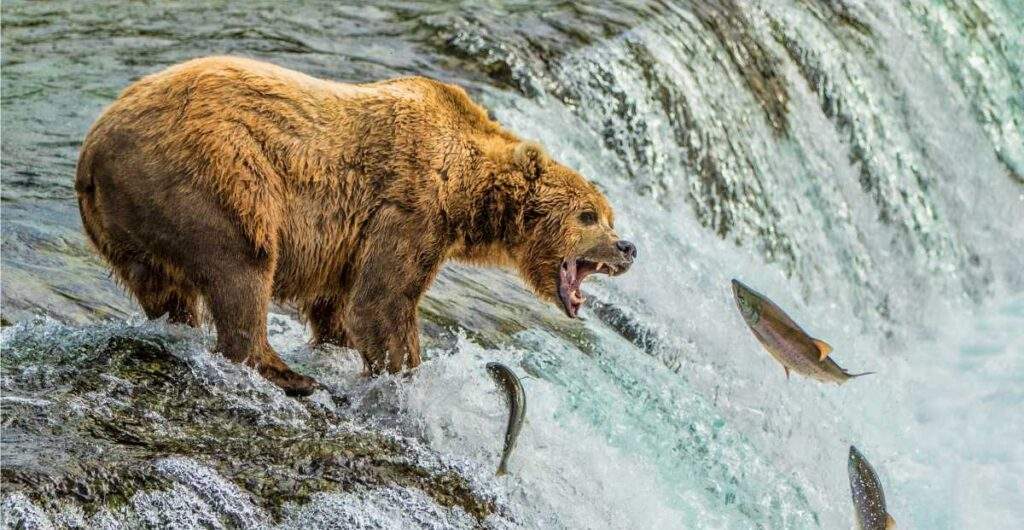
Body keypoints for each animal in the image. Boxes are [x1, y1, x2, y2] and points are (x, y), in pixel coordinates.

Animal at [75, 56, 637, 396]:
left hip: (132, 221)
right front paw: (408, 372)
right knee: (243, 266)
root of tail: (94, 147)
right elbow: (384, 300)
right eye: (588, 214)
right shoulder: (409, 206)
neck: (466, 190)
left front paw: (341, 345)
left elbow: (340, 303)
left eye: (609, 214)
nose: (628, 246)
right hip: (214, 178)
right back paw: (288, 374)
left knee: (164, 288)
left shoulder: (353, 237)